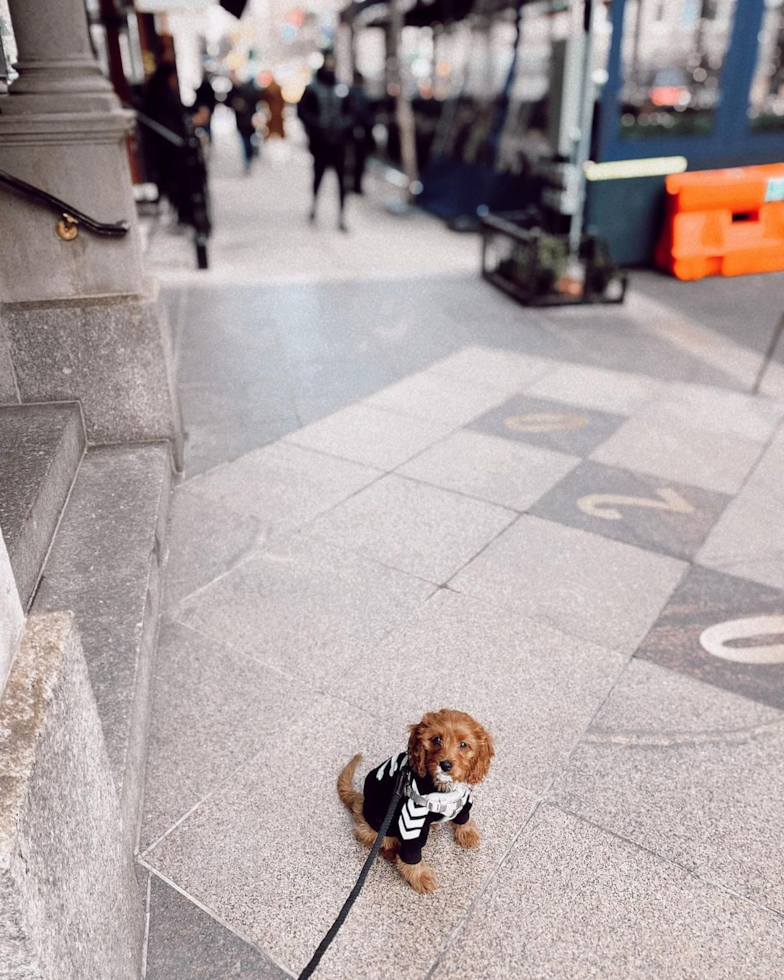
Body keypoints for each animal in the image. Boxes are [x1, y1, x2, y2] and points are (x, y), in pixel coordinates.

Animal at [336, 708, 494, 892]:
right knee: (372, 838)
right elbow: (412, 853)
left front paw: (467, 833)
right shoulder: (412, 819)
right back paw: (391, 852)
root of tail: (360, 802)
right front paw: (420, 876)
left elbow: (463, 817)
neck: (441, 787)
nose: (445, 765)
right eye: (436, 739)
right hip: (379, 825)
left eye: (463, 745)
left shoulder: (462, 799)